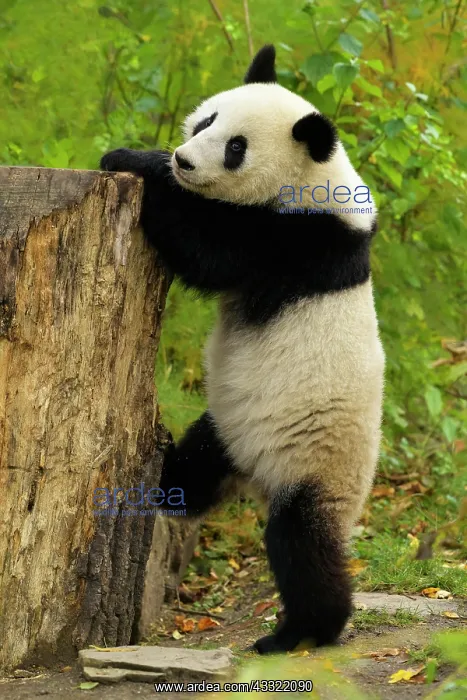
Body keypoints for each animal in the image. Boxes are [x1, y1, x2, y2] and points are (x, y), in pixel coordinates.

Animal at [101, 44, 385, 655]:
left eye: (237, 148)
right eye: (206, 120)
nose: (184, 160)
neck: (315, 176)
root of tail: (255, 475)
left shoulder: (296, 240)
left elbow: (209, 249)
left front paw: (133, 158)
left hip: (318, 464)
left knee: (300, 543)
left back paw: (301, 632)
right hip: (228, 428)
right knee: (195, 472)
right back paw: (164, 473)